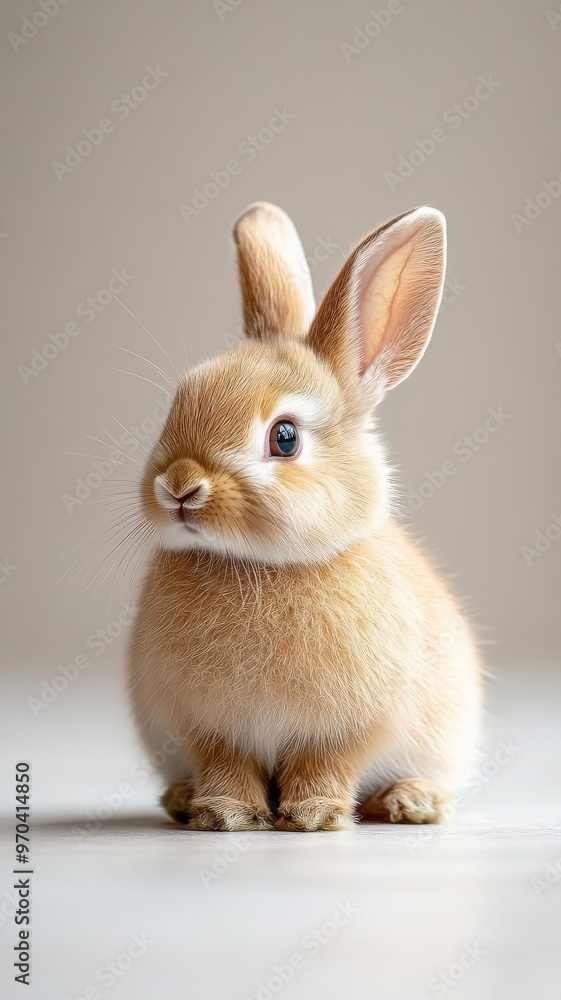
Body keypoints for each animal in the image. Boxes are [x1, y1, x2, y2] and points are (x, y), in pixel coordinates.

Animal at [127, 201, 482, 832]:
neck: (262, 565)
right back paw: (181, 799)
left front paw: (314, 816)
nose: (178, 486)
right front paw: (224, 815)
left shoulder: (351, 727)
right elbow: (226, 765)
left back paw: (410, 801)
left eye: (285, 437)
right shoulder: (210, 729)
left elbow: (326, 764)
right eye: (178, 401)